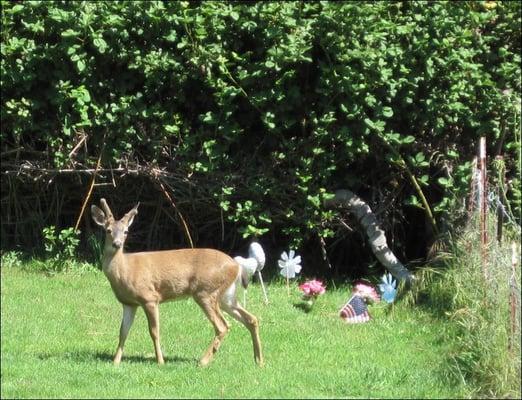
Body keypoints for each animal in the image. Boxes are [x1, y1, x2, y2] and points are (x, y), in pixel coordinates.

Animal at [90, 198, 264, 368]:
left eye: (126, 231)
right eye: (108, 230)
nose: (117, 244)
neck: (125, 270)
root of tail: (236, 266)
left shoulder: (149, 297)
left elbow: (154, 331)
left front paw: (160, 361)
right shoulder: (129, 303)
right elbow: (123, 332)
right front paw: (115, 362)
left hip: (206, 291)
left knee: (223, 326)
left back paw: (202, 362)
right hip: (226, 296)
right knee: (251, 319)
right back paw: (259, 361)